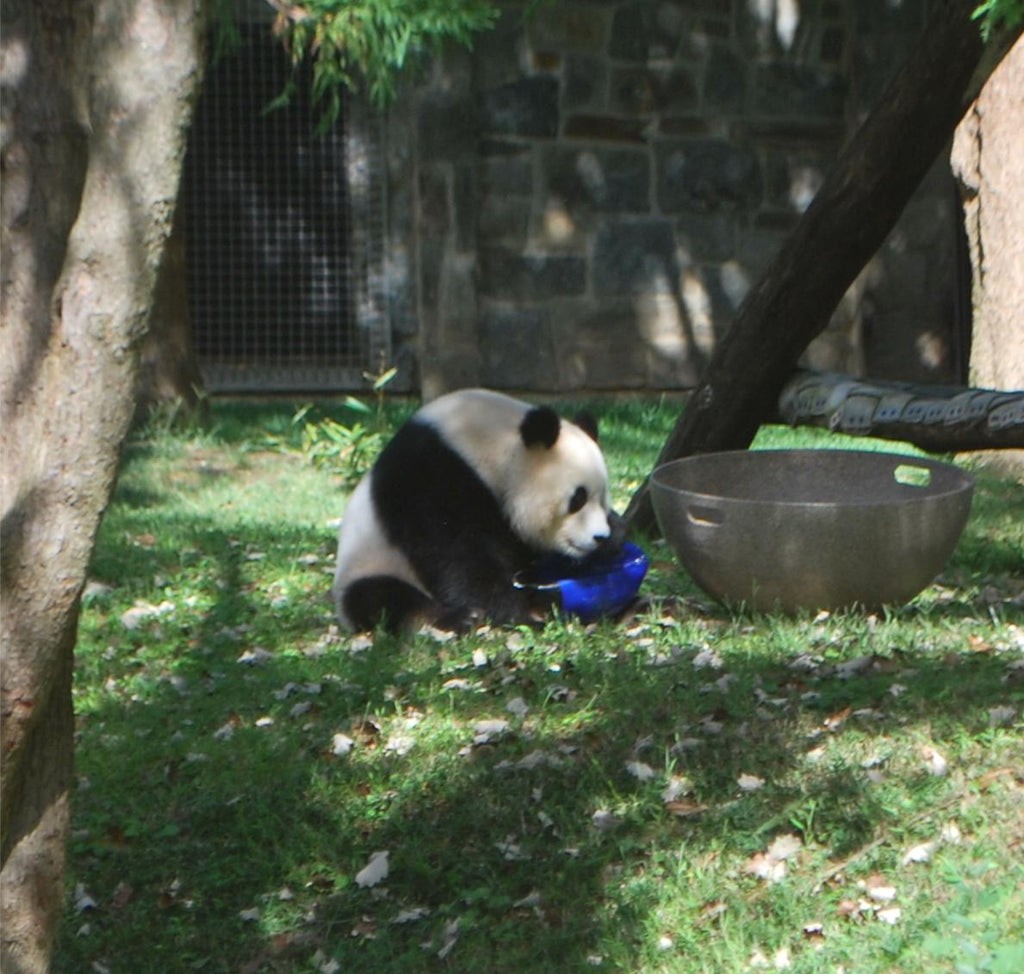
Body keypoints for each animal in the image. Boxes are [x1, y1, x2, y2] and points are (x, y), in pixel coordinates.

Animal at [332, 388, 618, 632]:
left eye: (603, 498)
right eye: (578, 499)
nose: (599, 537)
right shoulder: (431, 478)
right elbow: (459, 554)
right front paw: (516, 615)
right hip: (371, 562)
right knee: (381, 598)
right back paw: (455, 617)